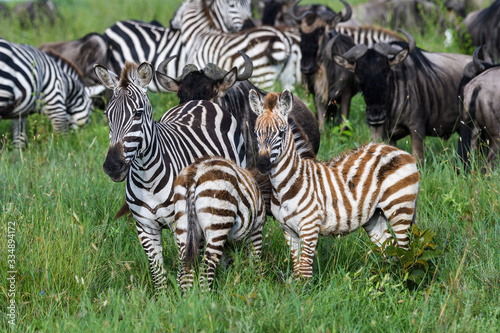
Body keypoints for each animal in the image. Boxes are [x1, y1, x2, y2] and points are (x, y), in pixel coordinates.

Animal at [174, 156, 268, 290]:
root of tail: (195, 172)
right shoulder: (256, 232)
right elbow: (256, 261)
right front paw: (258, 284)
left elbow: (226, 263)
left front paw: (227, 283)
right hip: (218, 221)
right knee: (206, 267)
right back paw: (205, 295)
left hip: (184, 223)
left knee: (186, 269)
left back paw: (188, 295)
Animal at [249, 87, 418, 278]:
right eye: (256, 133)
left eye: (281, 132)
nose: (263, 164)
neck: (284, 186)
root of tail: (397, 150)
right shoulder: (289, 231)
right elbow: (297, 268)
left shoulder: (309, 227)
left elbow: (305, 271)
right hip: (375, 216)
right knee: (391, 251)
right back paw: (389, 282)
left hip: (400, 208)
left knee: (405, 253)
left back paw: (405, 282)